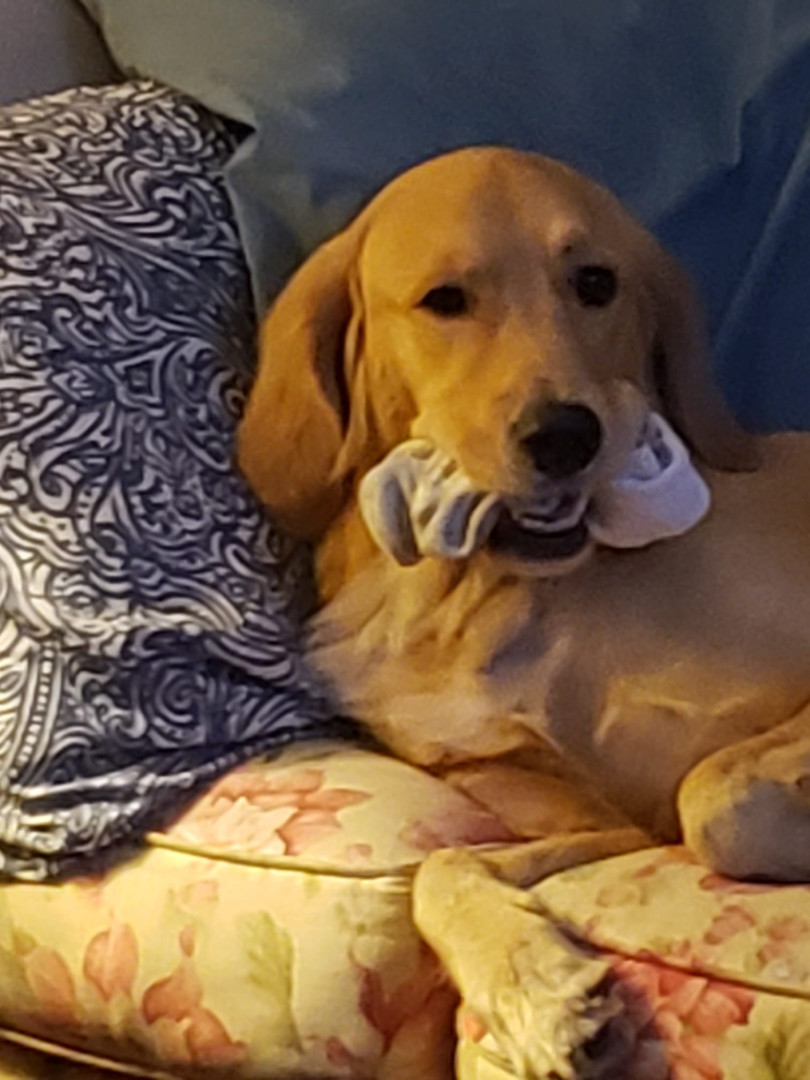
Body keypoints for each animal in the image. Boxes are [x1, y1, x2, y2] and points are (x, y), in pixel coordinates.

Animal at [238, 147, 810, 1073]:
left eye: (595, 282)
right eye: (445, 300)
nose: (565, 436)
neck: (477, 598)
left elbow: (717, 798)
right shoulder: (610, 824)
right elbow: (439, 870)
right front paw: (537, 989)